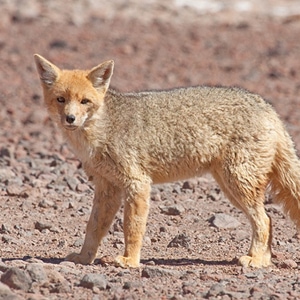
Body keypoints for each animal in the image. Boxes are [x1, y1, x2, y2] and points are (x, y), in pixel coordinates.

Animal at [33, 53, 300, 268]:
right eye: (61, 99)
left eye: (84, 101)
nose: (70, 118)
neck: (102, 130)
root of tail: (268, 107)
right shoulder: (107, 187)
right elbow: (93, 227)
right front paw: (83, 257)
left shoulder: (138, 183)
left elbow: (133, 227)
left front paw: (129, 260)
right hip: (230, 186)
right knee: (269, 221)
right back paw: (263, 260)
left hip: (238, 184)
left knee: (265, 220)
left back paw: (255, 259)